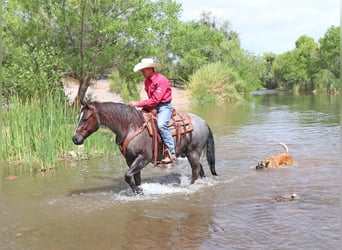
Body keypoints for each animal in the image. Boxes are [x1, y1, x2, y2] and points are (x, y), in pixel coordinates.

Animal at [72, 100, 216, 194]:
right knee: (200, 169)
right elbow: (135, 178)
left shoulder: (143, 158)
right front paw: (139, 190)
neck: (130, 127)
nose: (75, 138)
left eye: (85, 119)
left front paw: (138, 190)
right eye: (78, 117)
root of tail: (203, 122)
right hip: (189, 153)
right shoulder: (131, 160)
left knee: (195, 171)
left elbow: (127, 176)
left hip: (194, 153)